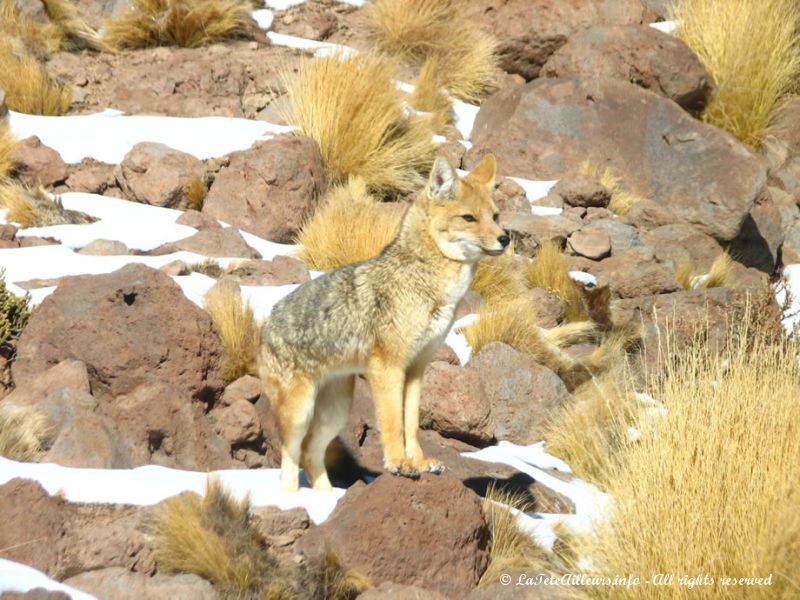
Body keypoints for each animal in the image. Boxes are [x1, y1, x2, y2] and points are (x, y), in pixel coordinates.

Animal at [258, 155, 506, 492]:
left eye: (495, 216)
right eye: (469, 218)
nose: (505, 238)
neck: (432, 289)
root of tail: (266, 324)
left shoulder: (416, 369)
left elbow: (411, 424)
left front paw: (420, 463)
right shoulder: (388, 367)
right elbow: (392, 422)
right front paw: (398, 464)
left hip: (336, 412)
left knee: (311, 454)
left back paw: (327, 498)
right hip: (300, 413)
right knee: (290, 459)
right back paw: (292, 498)